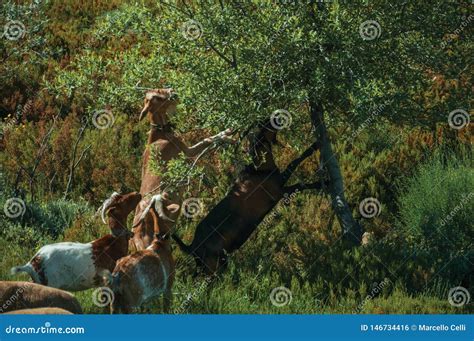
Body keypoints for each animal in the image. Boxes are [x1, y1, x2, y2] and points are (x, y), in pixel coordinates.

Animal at [11, 191, 141, 290]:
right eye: (121, 200)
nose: (137, 194)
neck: (113, 243)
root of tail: (30, 264)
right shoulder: (107, 279)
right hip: (51, 284)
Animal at [131, 88, 234, 250]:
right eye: (156, 97)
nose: (171, 91)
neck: (159, 135)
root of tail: (136, 239)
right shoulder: (187, 151)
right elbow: (207, 140)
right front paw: (228, 135)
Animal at [171, 120, 322, 274]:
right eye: (263, 124)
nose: (276, 118)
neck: (259, 168)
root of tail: (192, 247)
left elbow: (296, 162)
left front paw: (315, 145)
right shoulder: (278, 190)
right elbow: (298, 176)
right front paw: (323, 182)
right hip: (215, 266)